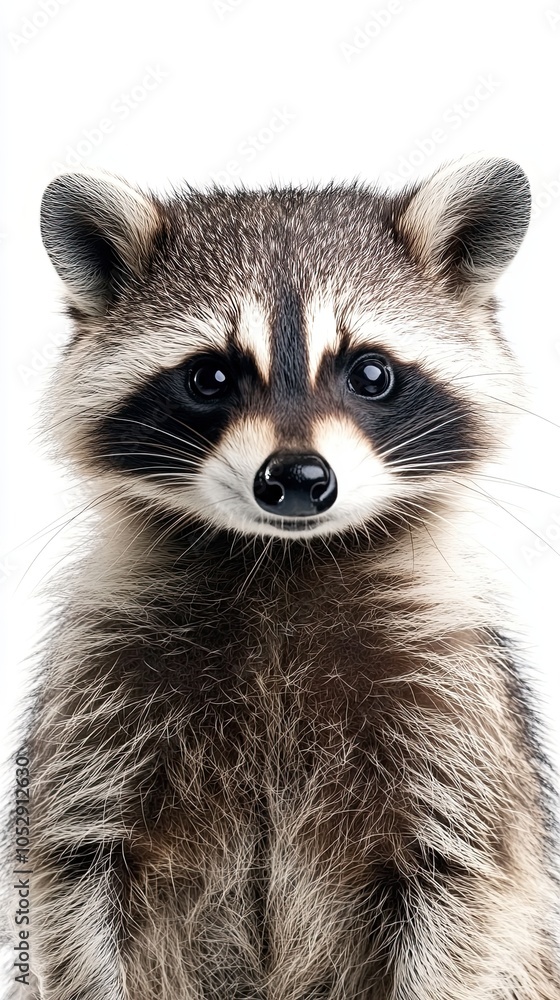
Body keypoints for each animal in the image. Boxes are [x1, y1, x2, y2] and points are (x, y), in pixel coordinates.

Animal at [5, 156, 560, 999]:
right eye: (209, 377)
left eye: (371, 372)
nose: (297, 479)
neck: (282, 561)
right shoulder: (98, 694)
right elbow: (72, 879)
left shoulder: (455, 711)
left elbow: (475, 889)